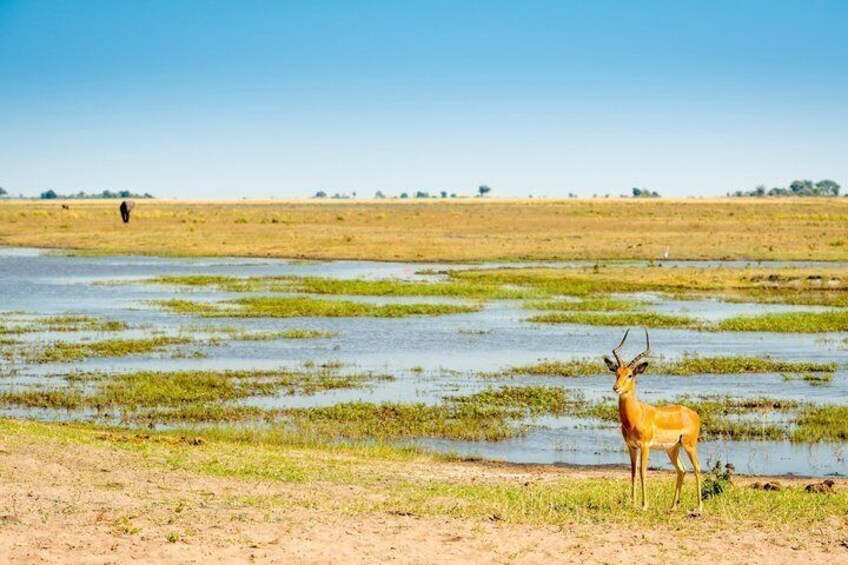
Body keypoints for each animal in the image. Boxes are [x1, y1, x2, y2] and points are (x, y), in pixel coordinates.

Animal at [604, 329, 703, 512]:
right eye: (616, 373)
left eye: (630, 375)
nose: (616, 388)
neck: (635, 416)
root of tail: (693, 414)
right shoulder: (631, 446)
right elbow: (633, 473)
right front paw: (633, 504)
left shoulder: (645, 446)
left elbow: (643, 472)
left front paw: (644, 505)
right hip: (672, 449)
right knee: (682, 470)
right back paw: (673, 507)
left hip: (689, 445)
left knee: (697, 468)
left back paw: (699, 507)